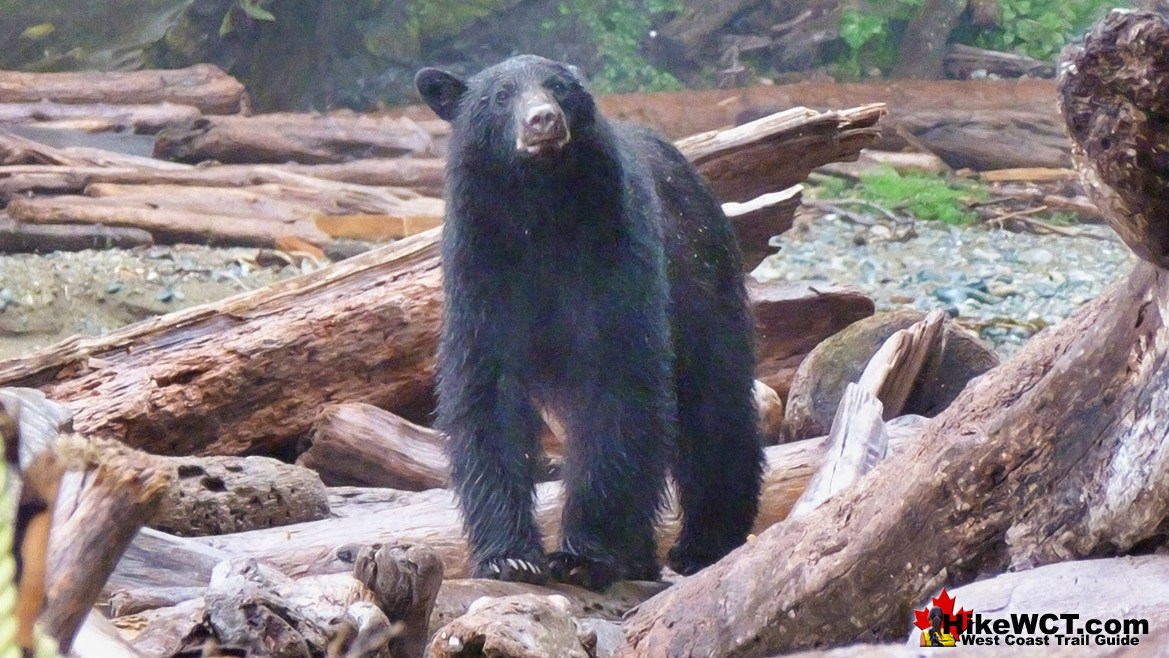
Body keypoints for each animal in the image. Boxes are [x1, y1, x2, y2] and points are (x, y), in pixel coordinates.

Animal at [416, 56, 762, 591]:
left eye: (559, 87)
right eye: (499, 96)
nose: (542, 120)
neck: (541, 211)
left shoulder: (613, 252)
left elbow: (617, 387)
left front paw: (584, 555)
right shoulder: (481, 271)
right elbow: (486, 396)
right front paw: (509, 557)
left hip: (703, 285)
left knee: (715, 406)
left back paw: (704, 541)